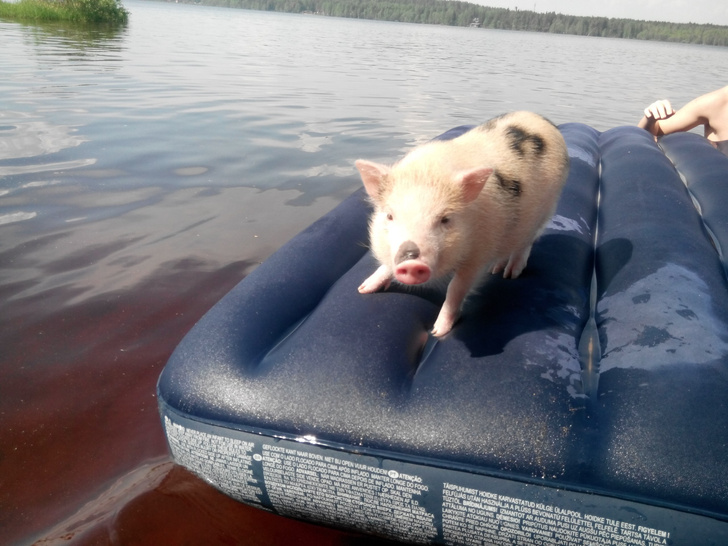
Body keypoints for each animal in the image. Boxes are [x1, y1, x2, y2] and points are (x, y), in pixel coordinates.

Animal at [356, 110, 572, 336]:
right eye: (390, 216)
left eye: (445, 219)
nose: (411, 261)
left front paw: (438, 331)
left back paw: (509, 274)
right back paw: (496, 269)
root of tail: (539, 117)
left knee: (525, 243)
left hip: (546, 209)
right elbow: (386, 266)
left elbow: (456, 288)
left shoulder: (479, 254)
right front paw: (363, 289)